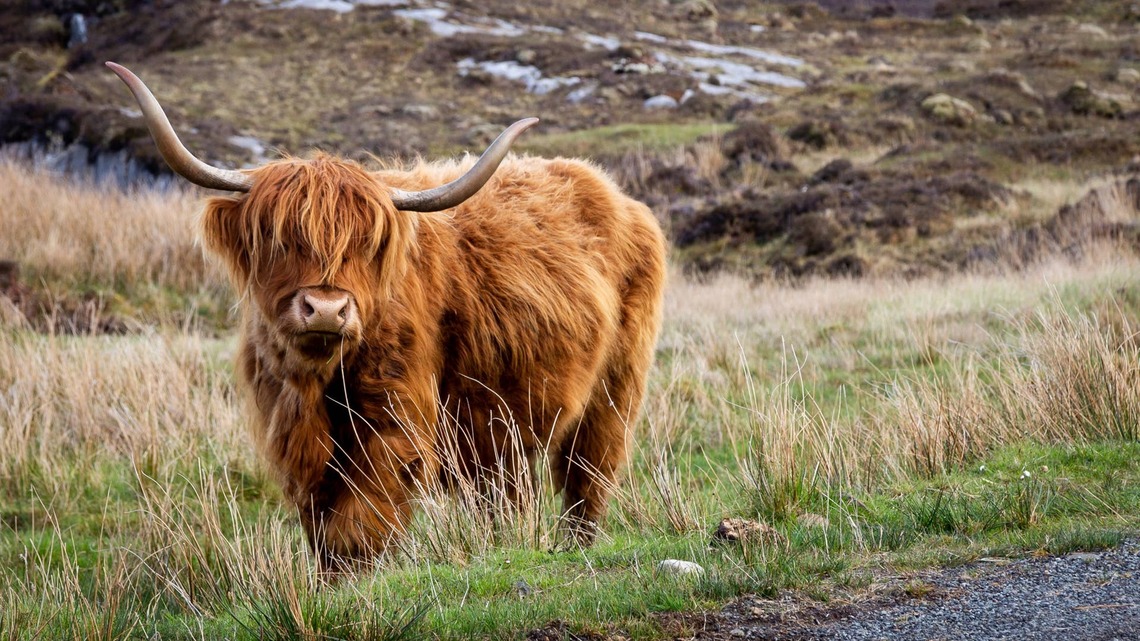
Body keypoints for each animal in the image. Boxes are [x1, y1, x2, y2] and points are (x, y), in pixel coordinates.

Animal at [107, 62, 666, 568]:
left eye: (366, 243)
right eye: (280, 238)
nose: (326, 309)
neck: (317, 383)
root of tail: (617, 195)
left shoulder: (395, 416)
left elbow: (361, 515)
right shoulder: (292, 433)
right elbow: (322, 522)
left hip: (612, 394)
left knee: (587, 478)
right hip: (502, 425)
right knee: (508, 493)